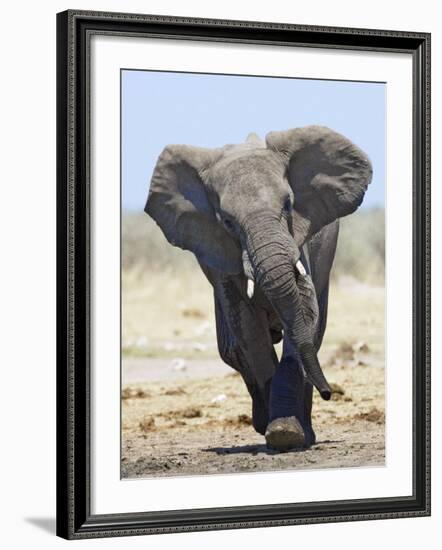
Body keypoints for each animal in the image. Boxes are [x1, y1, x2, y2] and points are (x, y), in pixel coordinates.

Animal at [144, 126, 370, 452]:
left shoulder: (299, 240)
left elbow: (305, 314)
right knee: (232, 349)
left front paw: (287, 434)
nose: (330, 393)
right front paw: (279, 432)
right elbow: (249, 330)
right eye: (227, 221)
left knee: (314, 333)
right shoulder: (220, 253)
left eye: (288, 204)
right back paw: (265, 421)